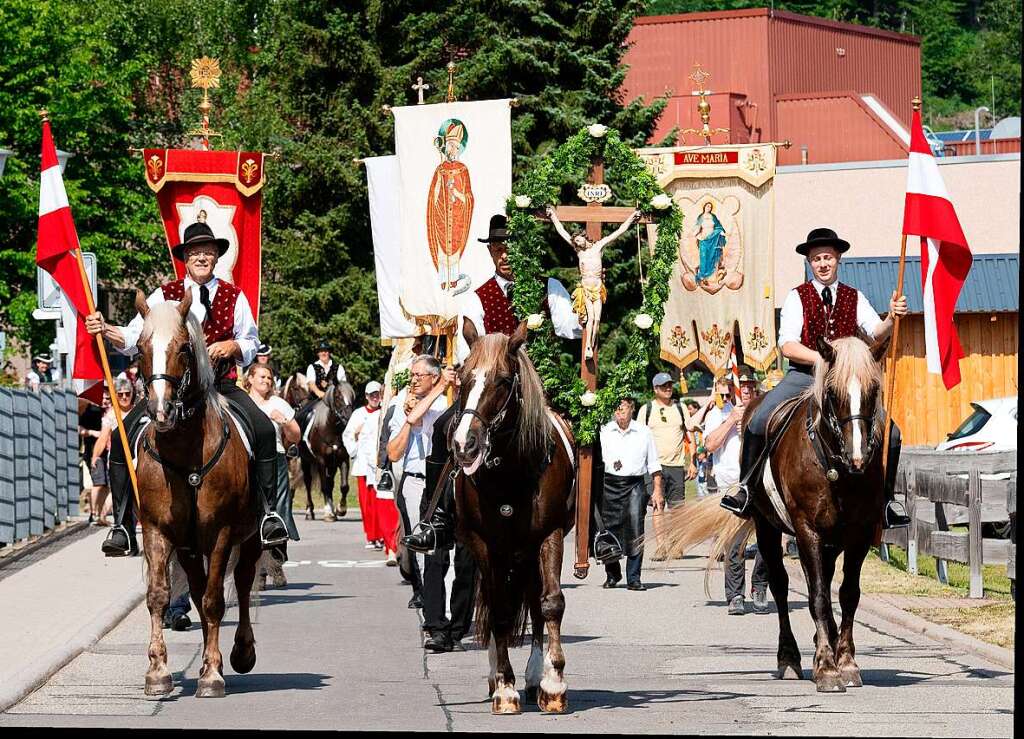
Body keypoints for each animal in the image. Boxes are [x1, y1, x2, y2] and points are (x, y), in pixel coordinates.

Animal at [134, 288, 262, 696]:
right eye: (141, 346)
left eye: (183, 347)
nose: (161, 410)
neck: (186, 451)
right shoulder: (158, 531)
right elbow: (160, 596)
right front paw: (158, 672)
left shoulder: (221, 533)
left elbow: (215, 601)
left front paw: (211, 675)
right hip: (190, 549)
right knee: (195, 587)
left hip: (250, 538)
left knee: (241, 582)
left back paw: (239, 653)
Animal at [454, 319, 577, 712]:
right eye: (463, 377)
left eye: (504, 380)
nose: (464, 445)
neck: (511, 471)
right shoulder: (484, 544)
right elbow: (499, 612)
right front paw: (504, 687)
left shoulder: (549, 535)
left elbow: (550, 603)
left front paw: (554, 682)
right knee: (499, 605)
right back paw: (498, 674)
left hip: (525, 552)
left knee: (534, 602)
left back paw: (537, 673)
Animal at [667, 333, 892, 691]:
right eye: (833, 392)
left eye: (873, 390)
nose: (857, 458)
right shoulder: (806, 530)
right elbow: (817, 596)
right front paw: (827, 668)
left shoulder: (857, 534)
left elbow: (847, 594)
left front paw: (846, 662)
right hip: (767, 528)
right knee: (781, 586)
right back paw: (789, 658)